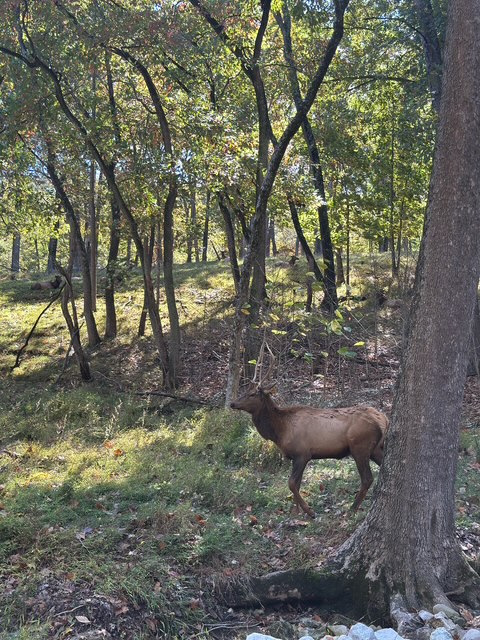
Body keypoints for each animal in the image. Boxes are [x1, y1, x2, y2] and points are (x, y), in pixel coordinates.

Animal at [230, 344, 388, 518]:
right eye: (245, 391)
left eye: (252, 394)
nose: (232, 403)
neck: (280, 431)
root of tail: (383, 418)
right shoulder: (296, 456)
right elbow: (297, 484)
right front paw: (296, 512)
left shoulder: (302, 453)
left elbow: (291, 483)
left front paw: (309, 511)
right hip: (375, 448)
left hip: (360, 446)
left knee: (367, 478)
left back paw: (351, 510)